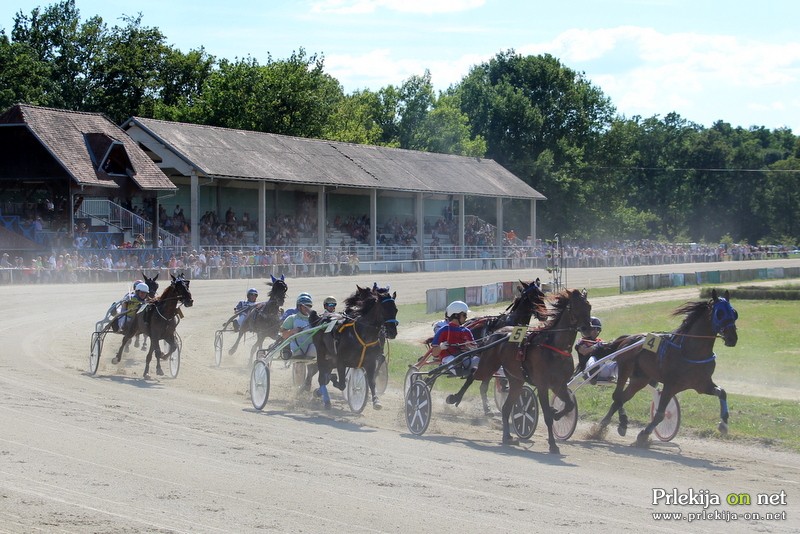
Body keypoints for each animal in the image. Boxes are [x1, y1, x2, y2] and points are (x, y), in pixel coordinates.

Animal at [466, 292, 592, 454]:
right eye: (574, 307)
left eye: (588, 306)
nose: (588, 328)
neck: (555, 348)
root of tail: (495, 333)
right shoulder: (543, 385)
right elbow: (547, 416)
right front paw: (553, 444)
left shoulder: (559, 385)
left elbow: (569, 405)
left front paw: (557, 414)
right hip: (488, 365)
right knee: (472, 374)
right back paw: (454, 398)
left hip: (516, 380)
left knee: (506, 408)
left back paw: (507, 437)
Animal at [592, 288, 736, 448]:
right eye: (720, 313)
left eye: (734, 313)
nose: (733, 338)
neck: (690, 351)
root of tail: (628, 338)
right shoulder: (671, 385)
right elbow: (660, 414)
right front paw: (643, 435)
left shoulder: (701, 384)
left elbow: (722, 392)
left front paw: (723, 424)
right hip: (625, 368)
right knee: (617, 396)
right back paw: (602, 427)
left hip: (640, 379)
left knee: (622, 398)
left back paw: (618, 425)